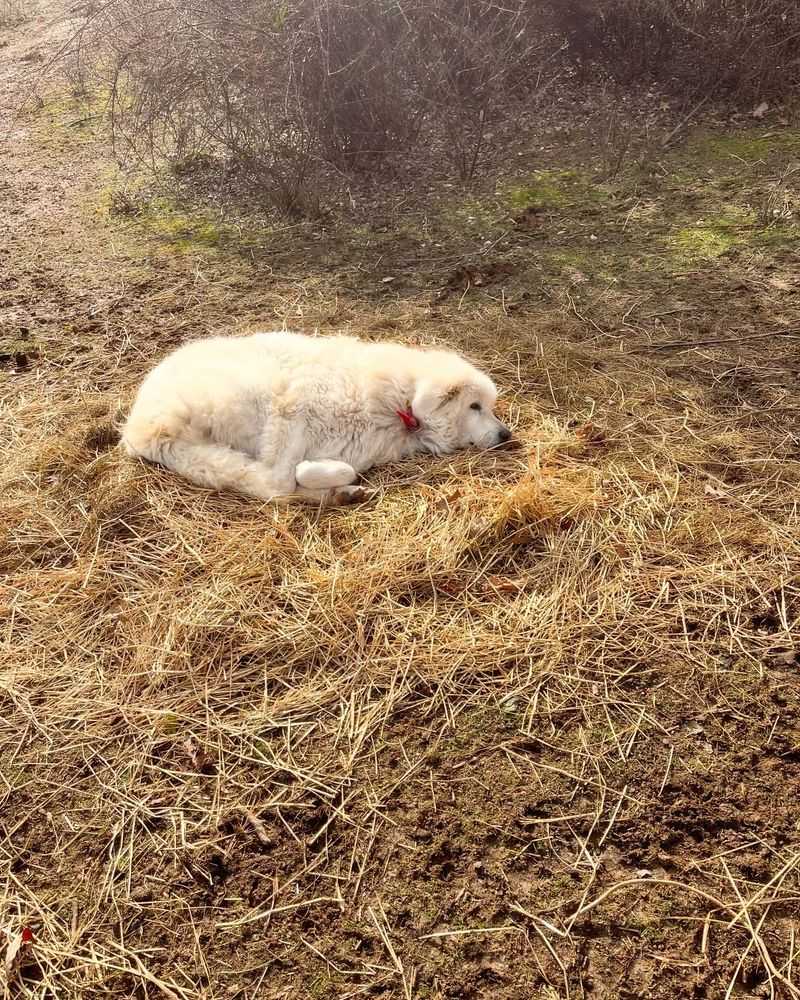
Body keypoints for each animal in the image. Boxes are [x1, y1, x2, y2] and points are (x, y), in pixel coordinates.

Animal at [123, 332, 512, 504]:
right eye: (474, 406)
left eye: (490, 407)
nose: (506, 435)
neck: (397, 401)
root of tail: (139, 427)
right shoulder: (291, 411)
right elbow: (289, 475)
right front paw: (328, 476)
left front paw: (337, 483)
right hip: (243, 395)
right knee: (272, 487)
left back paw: (341, 494)